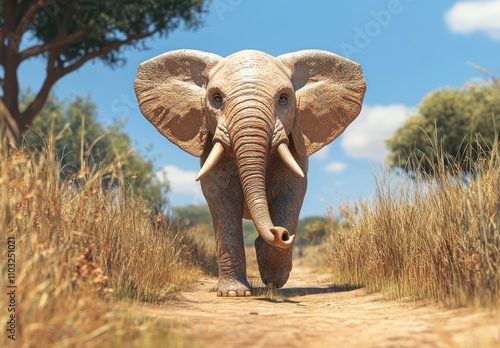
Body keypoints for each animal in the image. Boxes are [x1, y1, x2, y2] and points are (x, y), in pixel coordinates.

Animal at [135, 49, 366, 296]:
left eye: (283, 98)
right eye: (216, 98)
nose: (282, 234)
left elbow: (291, 191)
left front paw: (274, 279)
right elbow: (220, 196)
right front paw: (234, 293)